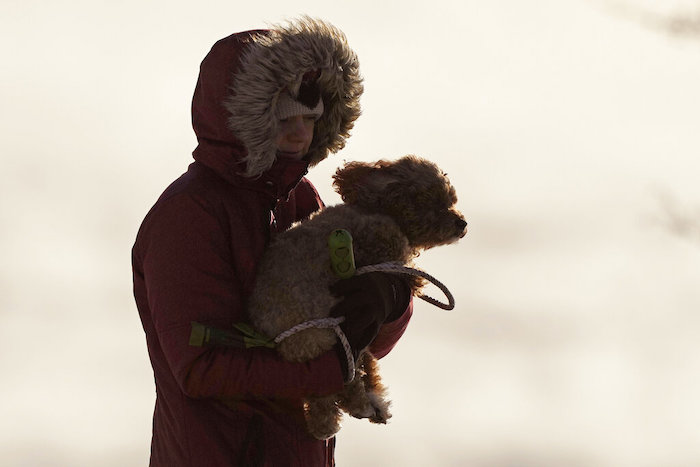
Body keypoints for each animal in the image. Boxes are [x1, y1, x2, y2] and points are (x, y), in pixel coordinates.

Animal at [243, 155, 468, 440]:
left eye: (450, 200)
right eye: (435, 202)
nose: (462, 223)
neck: (379, 209)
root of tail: (272, 336)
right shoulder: (378, 241)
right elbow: (398, 261)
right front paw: (413, 280)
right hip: (328, 334)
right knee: (345, 379)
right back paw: (361, 405)